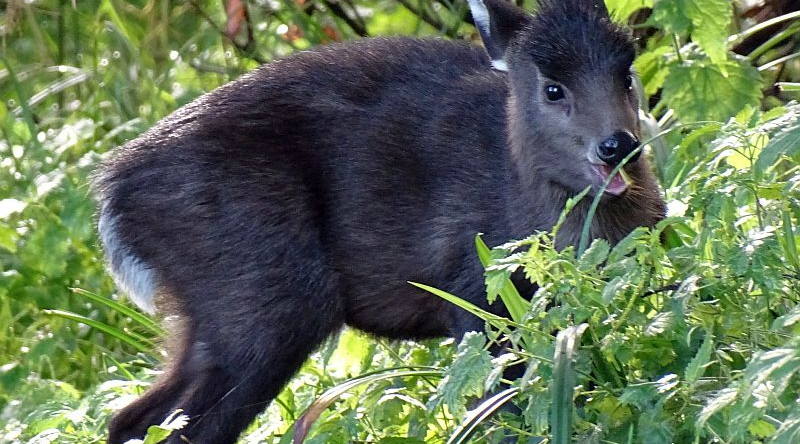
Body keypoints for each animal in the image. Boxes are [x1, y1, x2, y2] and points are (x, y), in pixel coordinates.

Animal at [95, 0, 664, 442]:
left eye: (626, 73)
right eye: (552, 88)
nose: (617, 145)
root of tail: (113, 195)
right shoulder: (473, 287)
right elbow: (502, 409)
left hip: (215, 315)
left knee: (131, 420)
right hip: (264, 293)